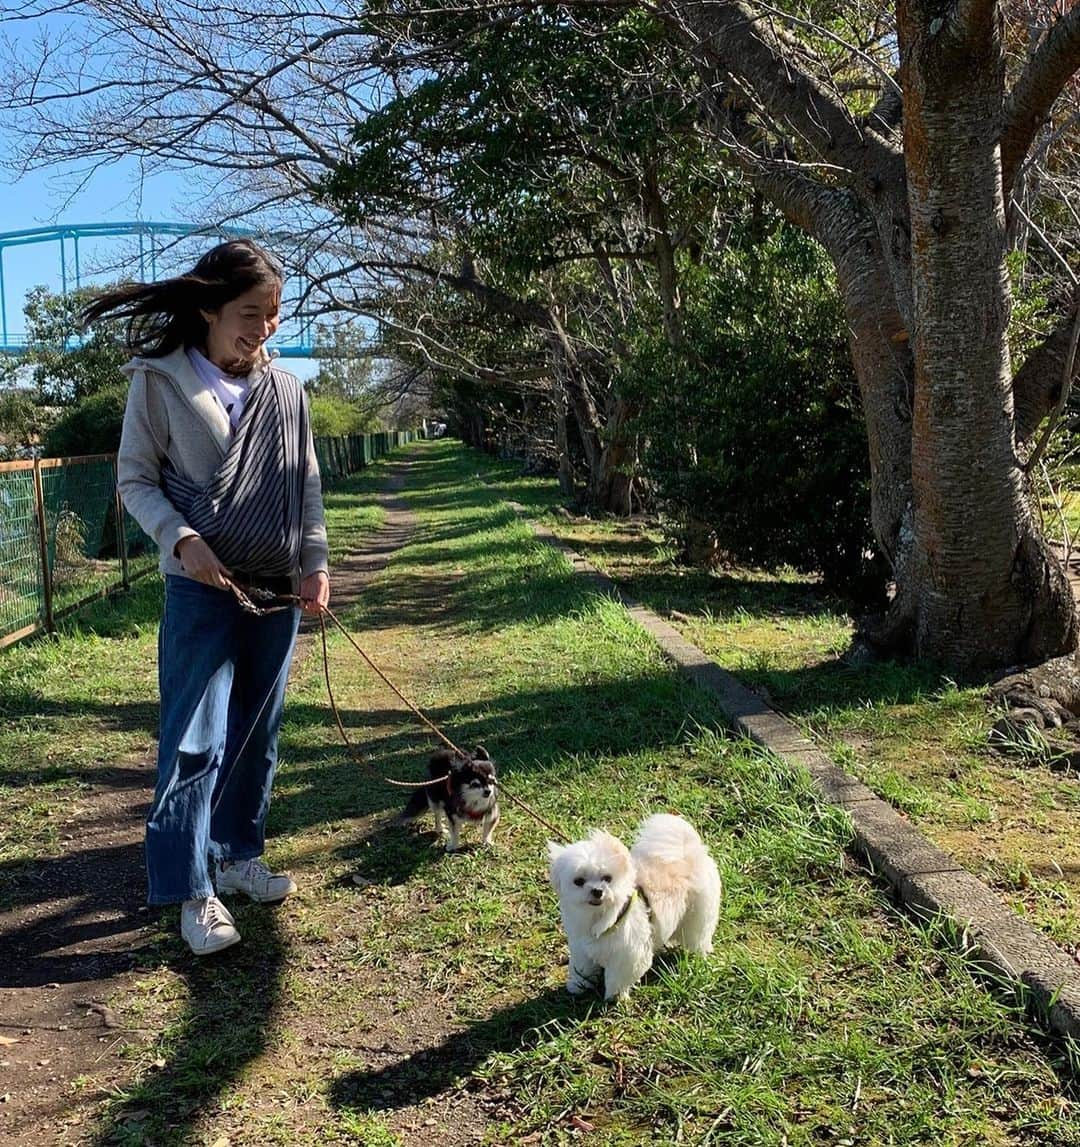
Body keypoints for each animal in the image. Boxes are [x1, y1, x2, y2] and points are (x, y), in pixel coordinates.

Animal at [545, 812, 724, 1000]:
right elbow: (582, 967)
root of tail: (689, 850)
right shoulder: (581, 945)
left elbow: (618, 976)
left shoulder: (628, 952)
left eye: (607, 878)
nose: (597, 891)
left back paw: (700, 953)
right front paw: (578, 985)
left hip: (698, 914)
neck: (598, 914)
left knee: (699, 935)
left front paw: (614, 996)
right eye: (578, 881)